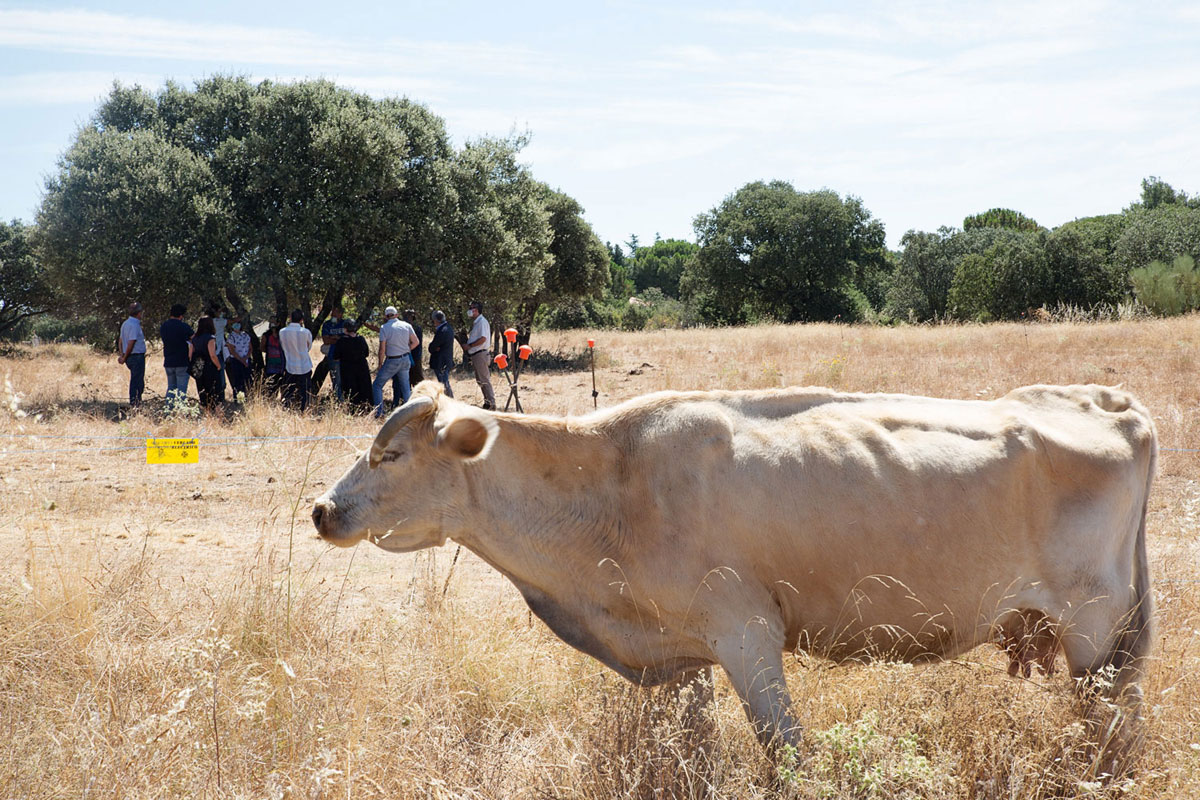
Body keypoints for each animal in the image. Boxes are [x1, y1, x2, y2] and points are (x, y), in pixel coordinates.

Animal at [309, 381, 1152, 758]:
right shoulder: (684, 656)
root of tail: (1103, 399)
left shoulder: (746, 634)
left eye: (391, 453)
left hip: (1095, 635)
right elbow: (697, 751)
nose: (321, 510)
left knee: (1113, 737)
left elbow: (786, 753)